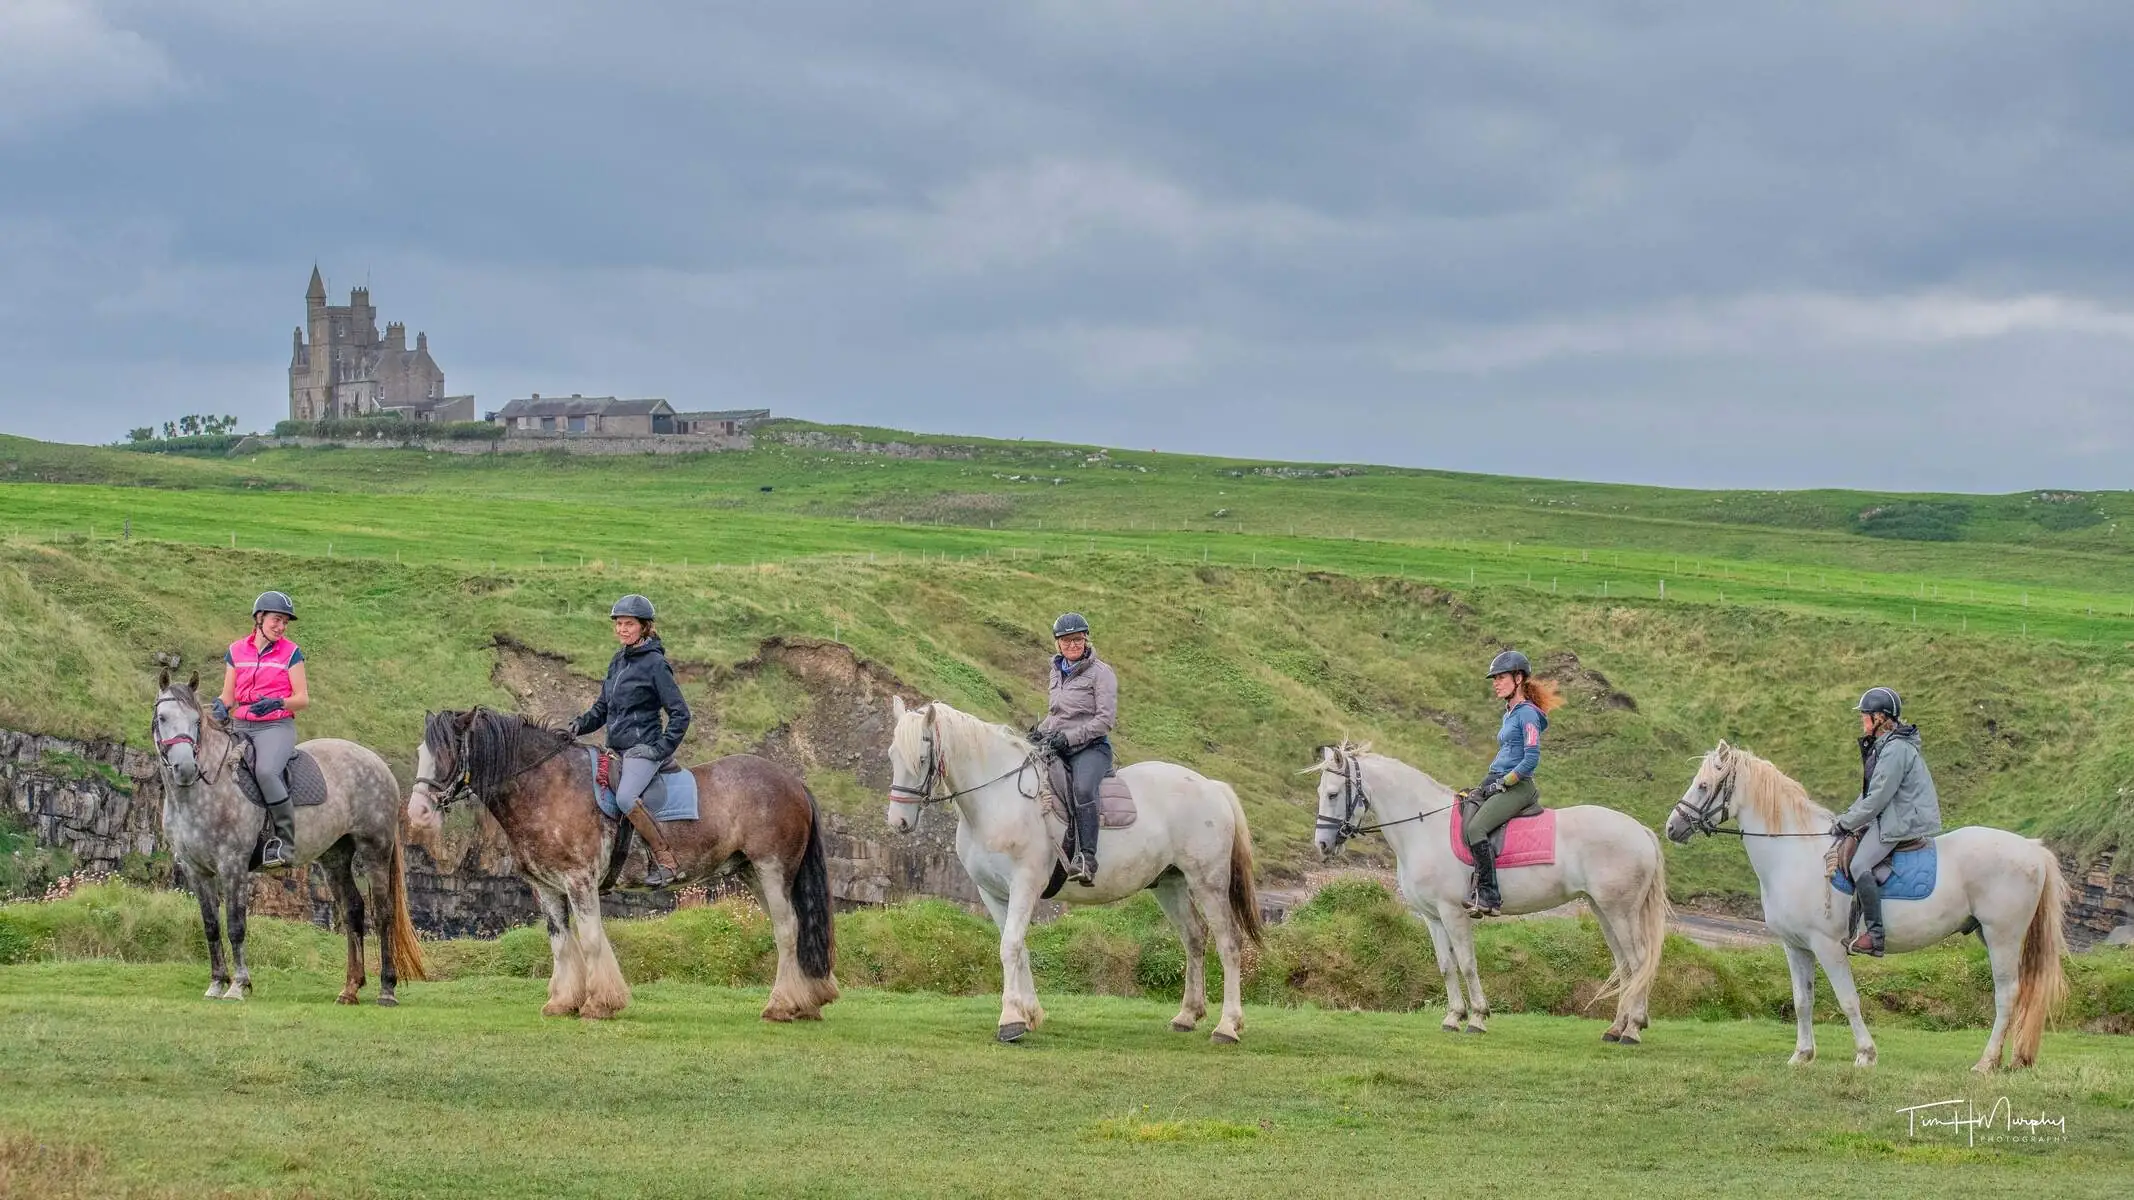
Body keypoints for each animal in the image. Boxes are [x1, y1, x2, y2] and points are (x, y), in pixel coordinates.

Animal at [149, 671, 427, 1003]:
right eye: (162, 718)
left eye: (196, 721)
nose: (186, 768)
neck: (205, 790)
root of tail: (377, 763)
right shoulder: (196, 870)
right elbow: (211, 926)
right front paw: (216, 982)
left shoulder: (233, 865)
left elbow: (235, 926)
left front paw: (238, 985)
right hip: (335, 856)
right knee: (353, 910)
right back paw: (350, 989)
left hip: (375, 848)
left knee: (384, 913)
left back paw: (387, 989)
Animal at [406, 707, 837, 1021]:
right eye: (421, 754)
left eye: (446, 753)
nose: (417, 813)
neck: (547, 786)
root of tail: (793, 782)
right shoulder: (547, 888)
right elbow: (561, 943)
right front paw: (563, 1002)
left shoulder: (579, 880)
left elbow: (591, 939)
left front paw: (599, 1003)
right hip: (752, 873)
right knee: (793, 930)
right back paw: (807, 1002)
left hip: (772, 869)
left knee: (787, 931)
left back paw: (782, 1005)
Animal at [883, 697, 1263, 1044]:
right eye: (891, 756)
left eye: (921, 759)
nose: (898, 822)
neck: (997, 799)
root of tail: (1212, 786)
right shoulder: (991, 893)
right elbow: (1018, 948)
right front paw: (1030, 1014)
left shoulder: (1024, 886)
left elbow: (1009, 946)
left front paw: (1010, 1021)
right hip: (1170, 884)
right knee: (1194, 937)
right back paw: (1187, 1015)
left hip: (1208, 883)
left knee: (1228, 943)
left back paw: (1227, 1026)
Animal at [1308, 741, 1669, 1040]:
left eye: (1333, 793)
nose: (1322, 845)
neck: (1424, 828)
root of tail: (1639, 830)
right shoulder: (1432, 917)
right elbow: (1446, 965)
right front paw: (1453, 1017)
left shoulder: (1453, 912)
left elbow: (1467, 963)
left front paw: (1477, 1018)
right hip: (1603, 909)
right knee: (1625, 965)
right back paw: (1616, 1027)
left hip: (1620, 911)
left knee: (1638, 961)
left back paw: (1632, 1029)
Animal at [1666, 741, 2069, 1071]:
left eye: (1703, 786)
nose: (1672, 827)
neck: (1794, 854)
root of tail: (2032, 849)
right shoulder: (1796, 947)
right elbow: (1802, 1000)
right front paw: (1802, 1055)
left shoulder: (1827, 946)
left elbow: (1848, 1000)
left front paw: (1865, 1054)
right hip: (1989, 934)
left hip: (2002, 937)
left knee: (2007, 995)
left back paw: (1986, 1063)